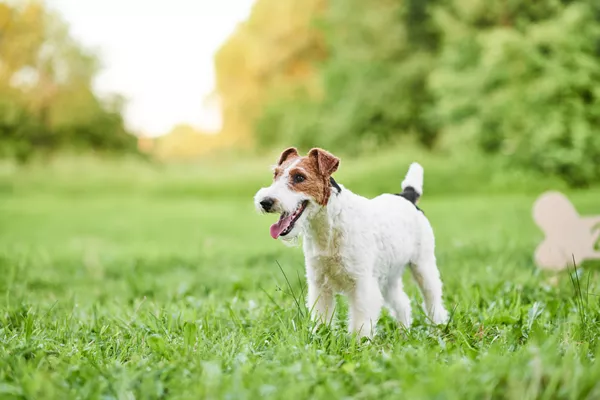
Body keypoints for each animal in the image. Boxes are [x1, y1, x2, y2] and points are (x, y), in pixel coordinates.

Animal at [254, 148, 450, 338]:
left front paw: (360, 343)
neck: (328, 227)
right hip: (389, 275)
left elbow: (360, 323)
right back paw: (404, 332)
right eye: (275, 174)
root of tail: (407, 196)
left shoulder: (361, 284)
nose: (265, 202)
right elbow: (322, 318)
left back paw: (438, 327)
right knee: (402, 303)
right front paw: (321, 338)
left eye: (299, 177)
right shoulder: (319, 284)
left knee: (433, 300)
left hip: (423, 265)